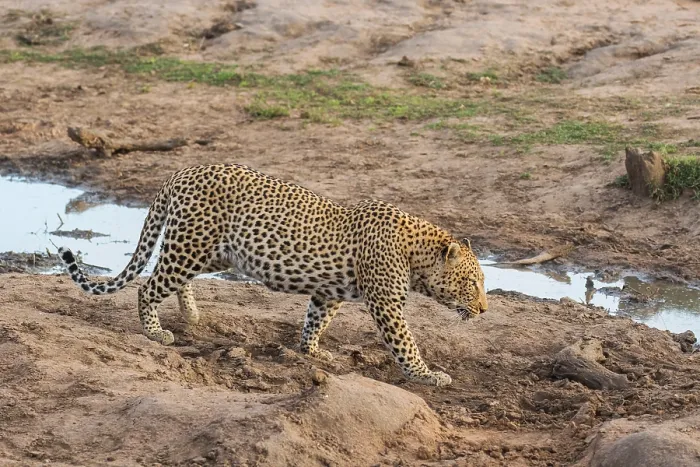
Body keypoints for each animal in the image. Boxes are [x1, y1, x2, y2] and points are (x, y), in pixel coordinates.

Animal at [58, 163, 488, 386]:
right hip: (190, 246)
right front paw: (427, 374)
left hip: (212, 252)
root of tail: (181, 172)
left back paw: (190, 313)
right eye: (471, 284)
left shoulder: (330, 291)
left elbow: (316, 319)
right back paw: (155, 331)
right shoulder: (386, 303)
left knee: (172, 278)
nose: (484, 310)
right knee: (147, 286)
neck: (417, 253)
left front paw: (313, 351)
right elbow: (405, 343)